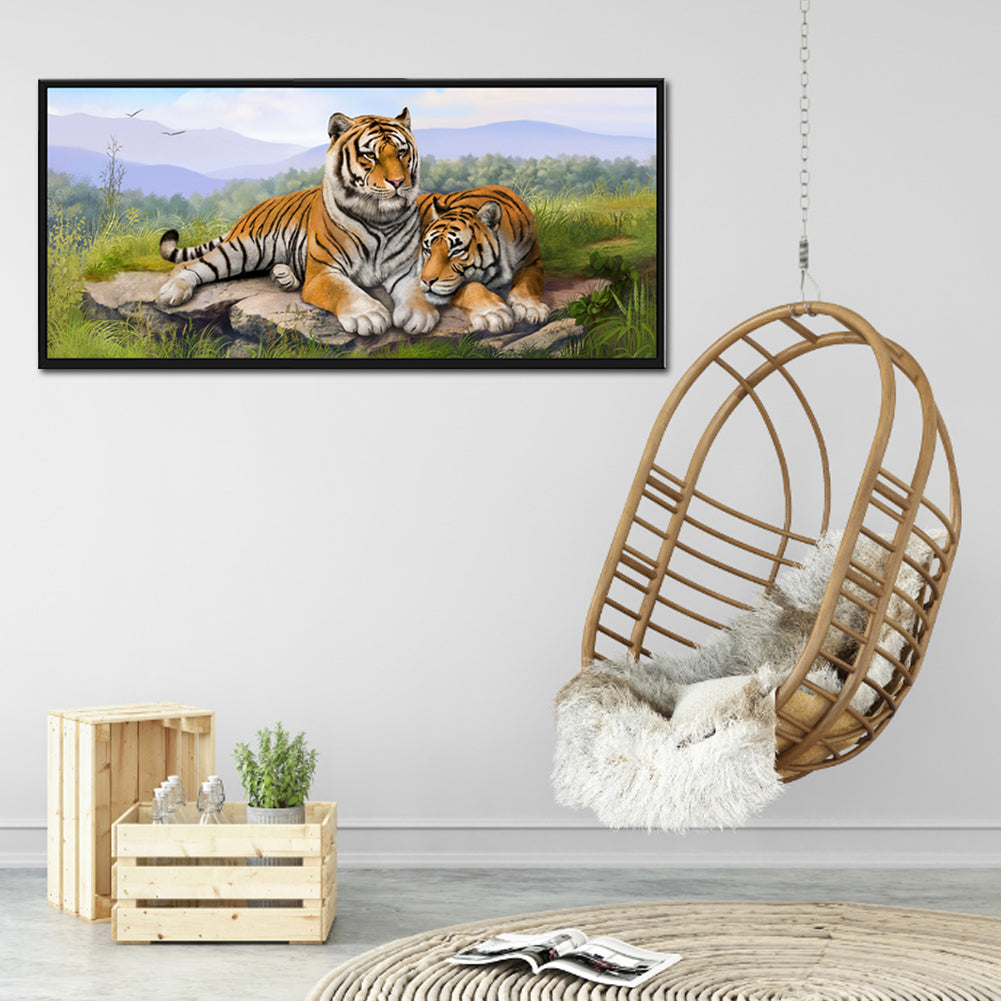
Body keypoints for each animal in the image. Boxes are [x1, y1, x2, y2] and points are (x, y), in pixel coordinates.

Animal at [156, 108, 438, 337]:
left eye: (401, 152)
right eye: (370, 155)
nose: (398, 182)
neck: (381, 219)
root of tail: (250, 211)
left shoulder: (405, 268)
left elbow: (416, 289)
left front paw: (421, 315)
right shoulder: (324, 272)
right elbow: (345, 290)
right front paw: (368, 315)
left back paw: (283, 276)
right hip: (243, 249)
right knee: (190, 265)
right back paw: (172, 292)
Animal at [416, 185, 550, 334]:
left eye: (456, 251)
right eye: (428, 249)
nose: (427, 281)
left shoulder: (533, 263)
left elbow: (528, 282)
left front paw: (529, 308)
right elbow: (472, 286)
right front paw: (494, 313)